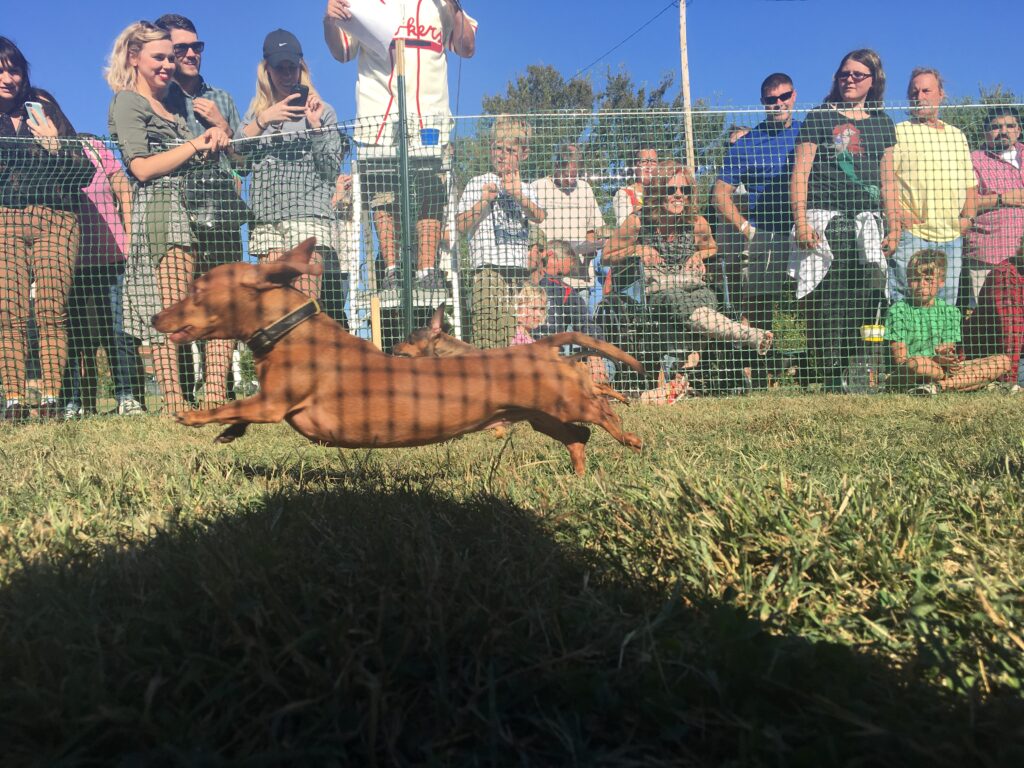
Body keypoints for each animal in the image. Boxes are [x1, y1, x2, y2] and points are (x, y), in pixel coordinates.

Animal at [149, 240, 647, 475]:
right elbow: (239, 412)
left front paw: (194, 417)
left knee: (602, 413)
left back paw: (631, 437)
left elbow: (232, 404)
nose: (154, 316)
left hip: (566, 402)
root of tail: (540, 346)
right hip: (542, 417)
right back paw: (580, 471)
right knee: (579, 436)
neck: (291, 330)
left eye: (196, 289)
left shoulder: (273, 403)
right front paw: (229, 433)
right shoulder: (269, 401)